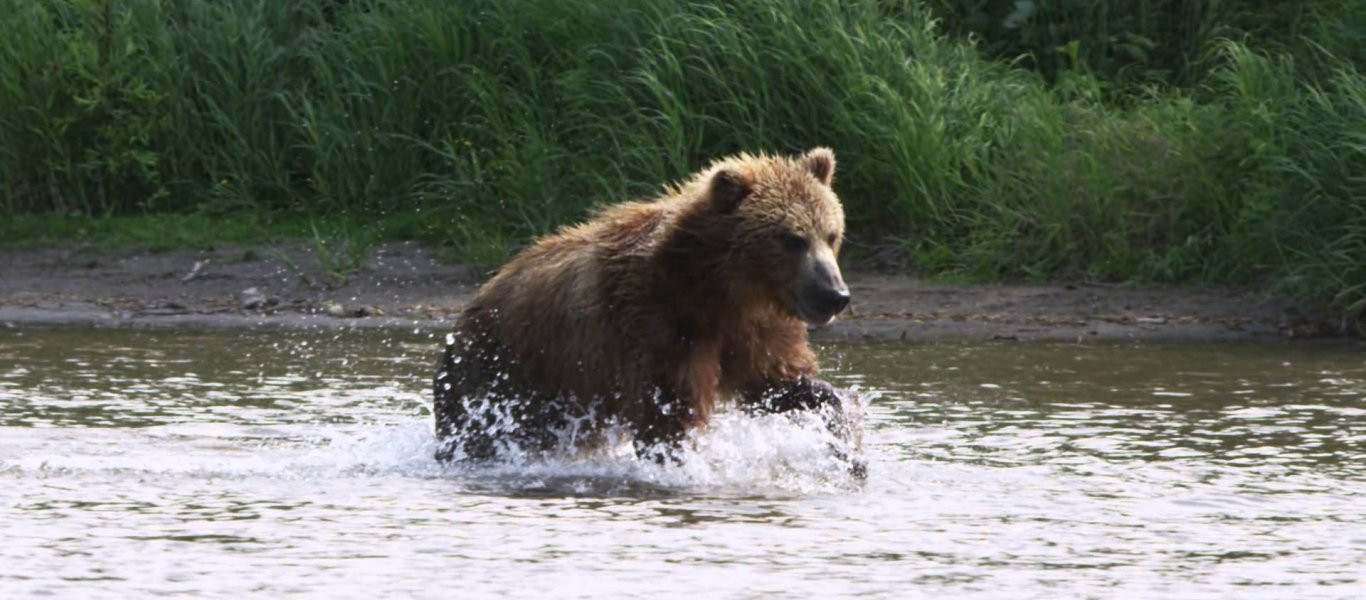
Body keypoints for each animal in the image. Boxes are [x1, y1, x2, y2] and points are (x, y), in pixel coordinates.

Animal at [434, 148, 852, 467]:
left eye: (831, 235)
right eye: (792, 239)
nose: (835, 294)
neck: (718, 289)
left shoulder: (753, 330)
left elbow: (778, 384)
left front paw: (849, 450)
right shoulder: (656, 324)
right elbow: (669, 416)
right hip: (500, 377)